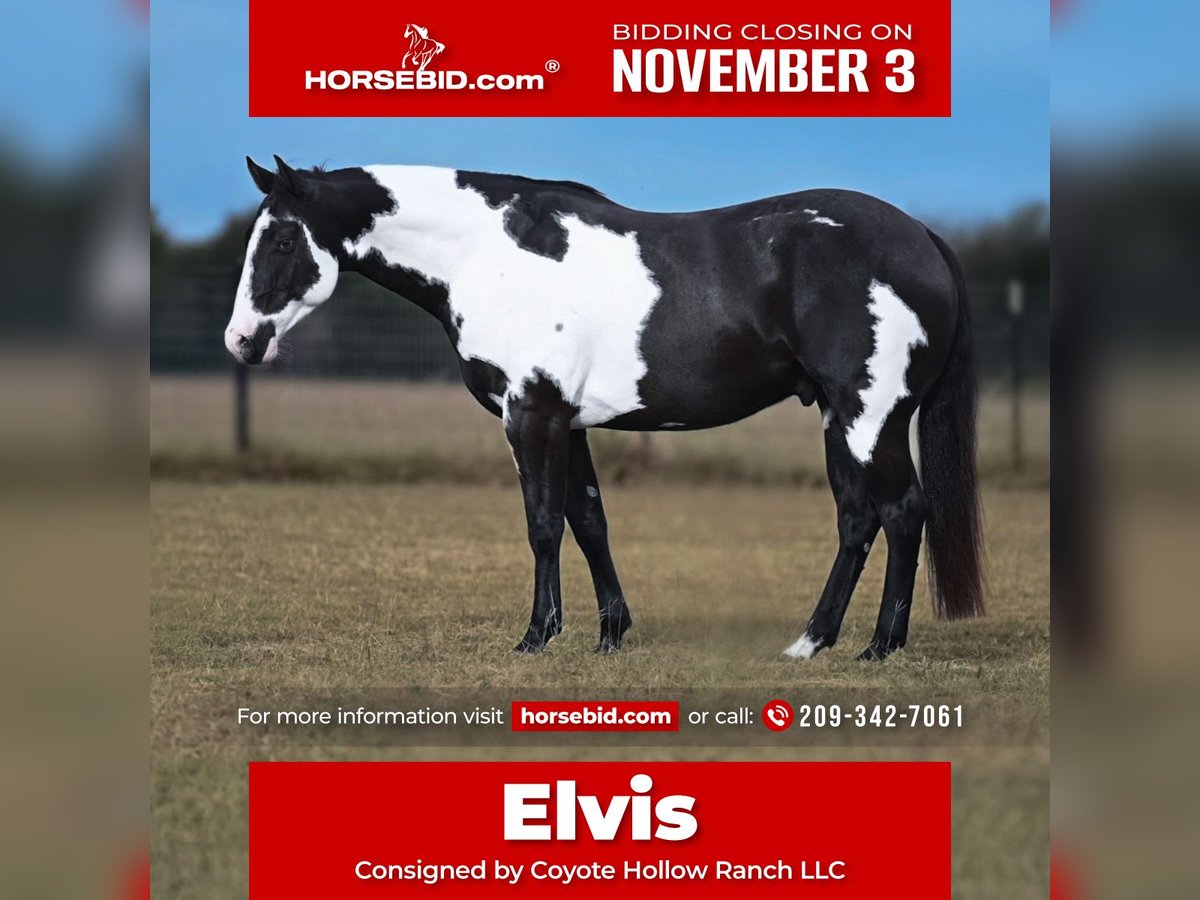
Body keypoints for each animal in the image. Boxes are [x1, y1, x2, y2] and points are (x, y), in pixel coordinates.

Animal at [226, 156, 985, 660]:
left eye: (285, 240)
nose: (242, 340)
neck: (486, 253)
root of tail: (922, 238)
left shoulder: (530, 415)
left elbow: (542, 525)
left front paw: (537, 636)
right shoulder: (569, 422)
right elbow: (589, 521)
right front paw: (610, 633)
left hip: (871, 417)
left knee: (902, 512)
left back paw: (880, 646)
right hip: (838, 418)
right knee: (858, 519)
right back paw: (811, 641)